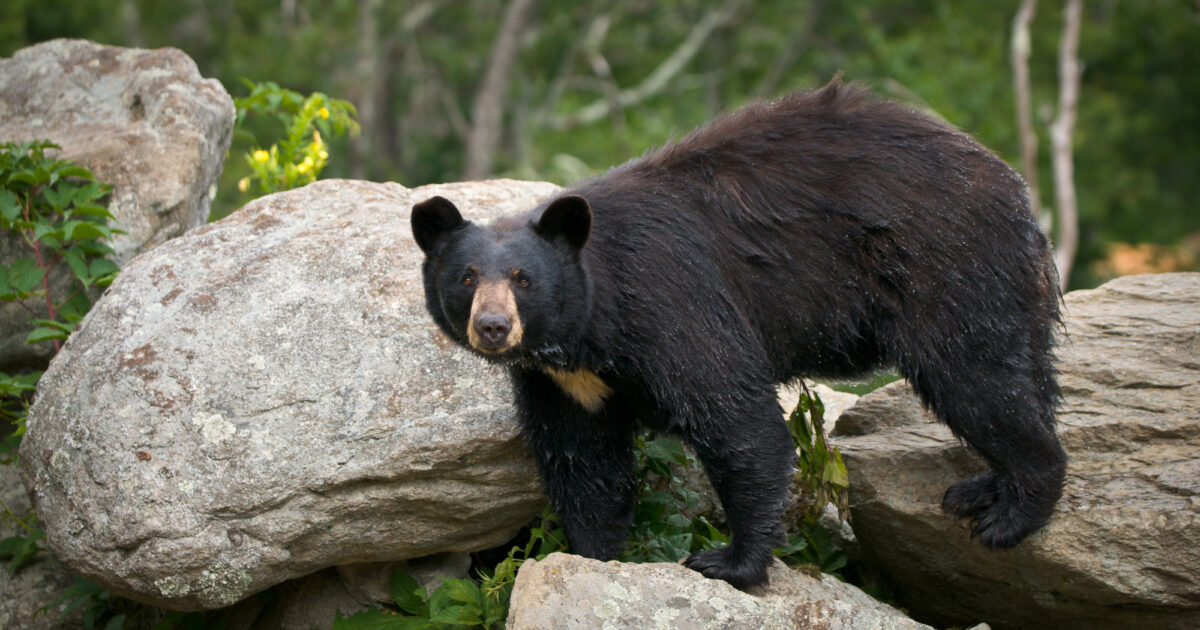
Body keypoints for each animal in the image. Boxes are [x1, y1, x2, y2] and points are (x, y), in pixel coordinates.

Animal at [412, 81, 1070, 588]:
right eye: (467, 277)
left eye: (523, 279)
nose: (493, 327)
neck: (590, 330)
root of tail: (1016, 190)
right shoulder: (562, 382)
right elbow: (584, 462)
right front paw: (593, 554)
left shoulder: (671, 302)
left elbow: (737, 422)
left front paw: (730, 561)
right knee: (1022, 374)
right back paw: (983, 489)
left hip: (947, 268)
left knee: (976, 379)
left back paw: (1011, 512)